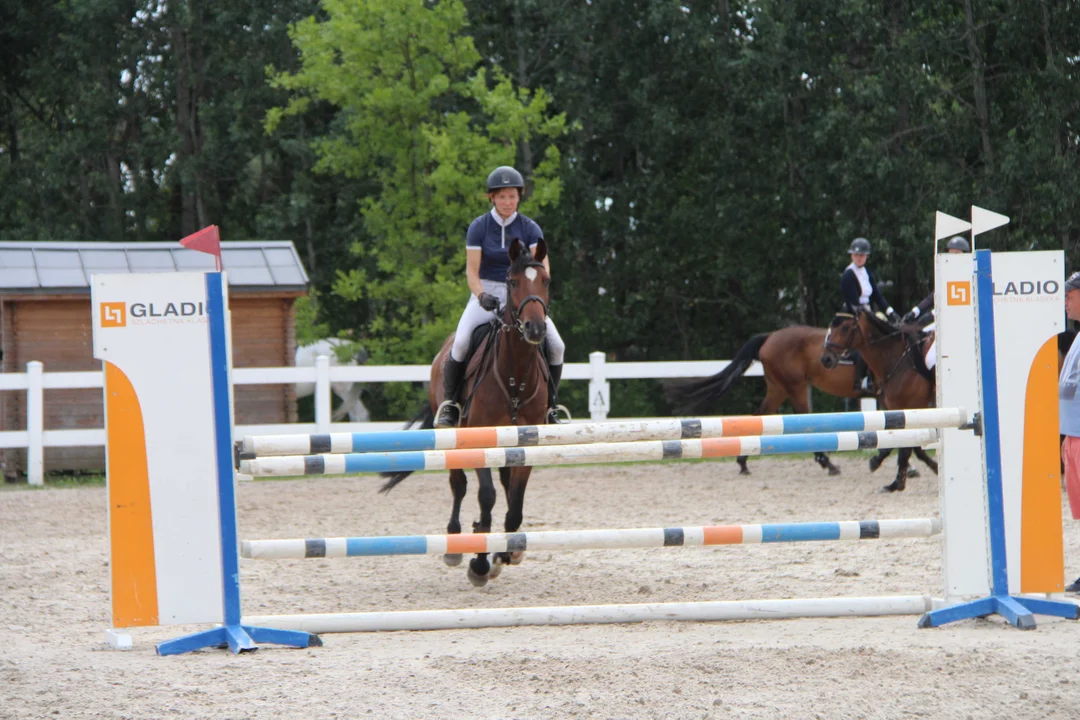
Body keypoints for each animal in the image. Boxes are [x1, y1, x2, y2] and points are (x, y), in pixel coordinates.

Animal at [378, 239, 548, 587]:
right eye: (513, 283)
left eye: (546, 281)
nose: (535, 328)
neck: (515, 376)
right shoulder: (478, 440)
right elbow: (486, 497)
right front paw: (480, 563)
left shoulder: (525, 444)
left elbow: (515, 504)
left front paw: (505, 554)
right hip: (453, 433)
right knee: (459, 484)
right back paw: (455, 544)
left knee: (503, 485)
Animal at [820, 306, 941, 492]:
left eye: (845, 328)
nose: (826, 359)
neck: (897, 361)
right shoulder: (897, 412)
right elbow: (908, 445)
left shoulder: (910, 409)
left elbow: (904, 447)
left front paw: (893, 478)